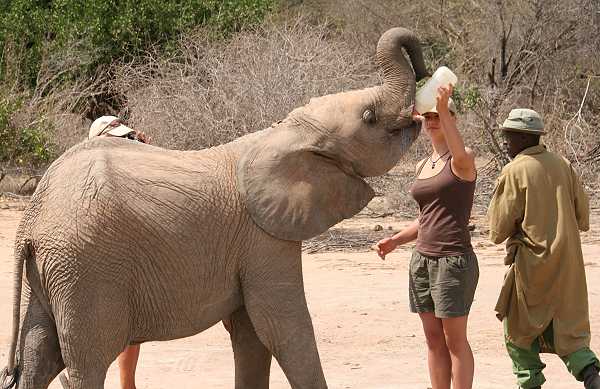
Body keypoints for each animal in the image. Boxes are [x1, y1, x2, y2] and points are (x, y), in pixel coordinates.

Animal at [0, 25, 426, 386]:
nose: (424, 69)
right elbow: (282, 326)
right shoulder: (263, 236)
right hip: (85, 267)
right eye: (369, 118)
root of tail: (30, 220)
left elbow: (250, 334)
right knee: (86, 363)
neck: (283, 133)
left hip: (53, 271)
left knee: (39, 356)